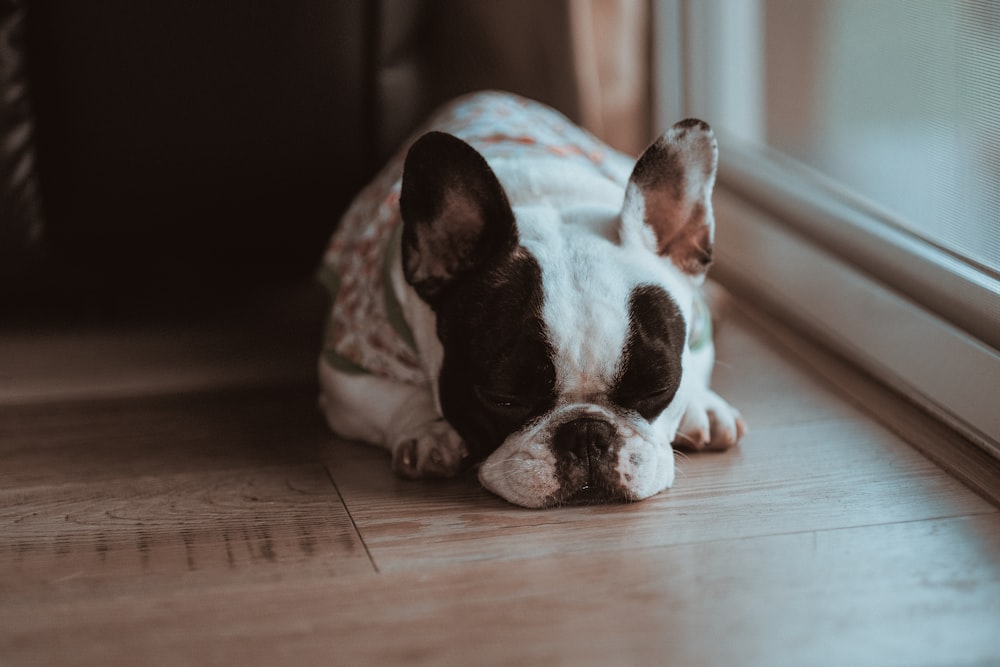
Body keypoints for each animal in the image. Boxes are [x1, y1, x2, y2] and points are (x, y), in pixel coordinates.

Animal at [316, 91, 748, 508]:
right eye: (503, 398)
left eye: (657, 388)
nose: (587, 434)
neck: (549, 201)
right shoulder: (345, 372)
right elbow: (393, 398)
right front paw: (429, 431)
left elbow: (697, 364)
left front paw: (701, 406)